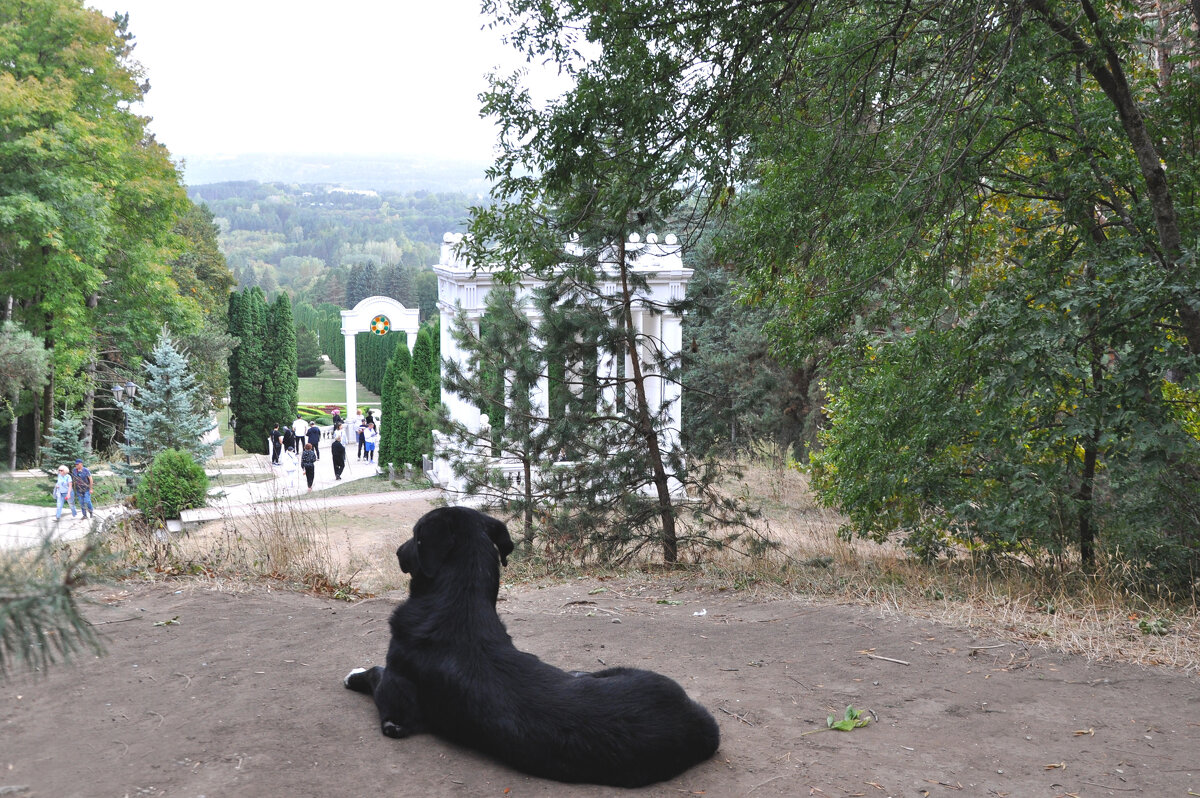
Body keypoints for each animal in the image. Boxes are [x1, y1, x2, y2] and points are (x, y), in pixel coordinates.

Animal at [348, 504, 720, 782]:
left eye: (415, 537)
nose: (397, 551)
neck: (457, 605)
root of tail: (700, 725)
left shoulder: (396, 699)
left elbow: (375, 673)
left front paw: (354, 674)